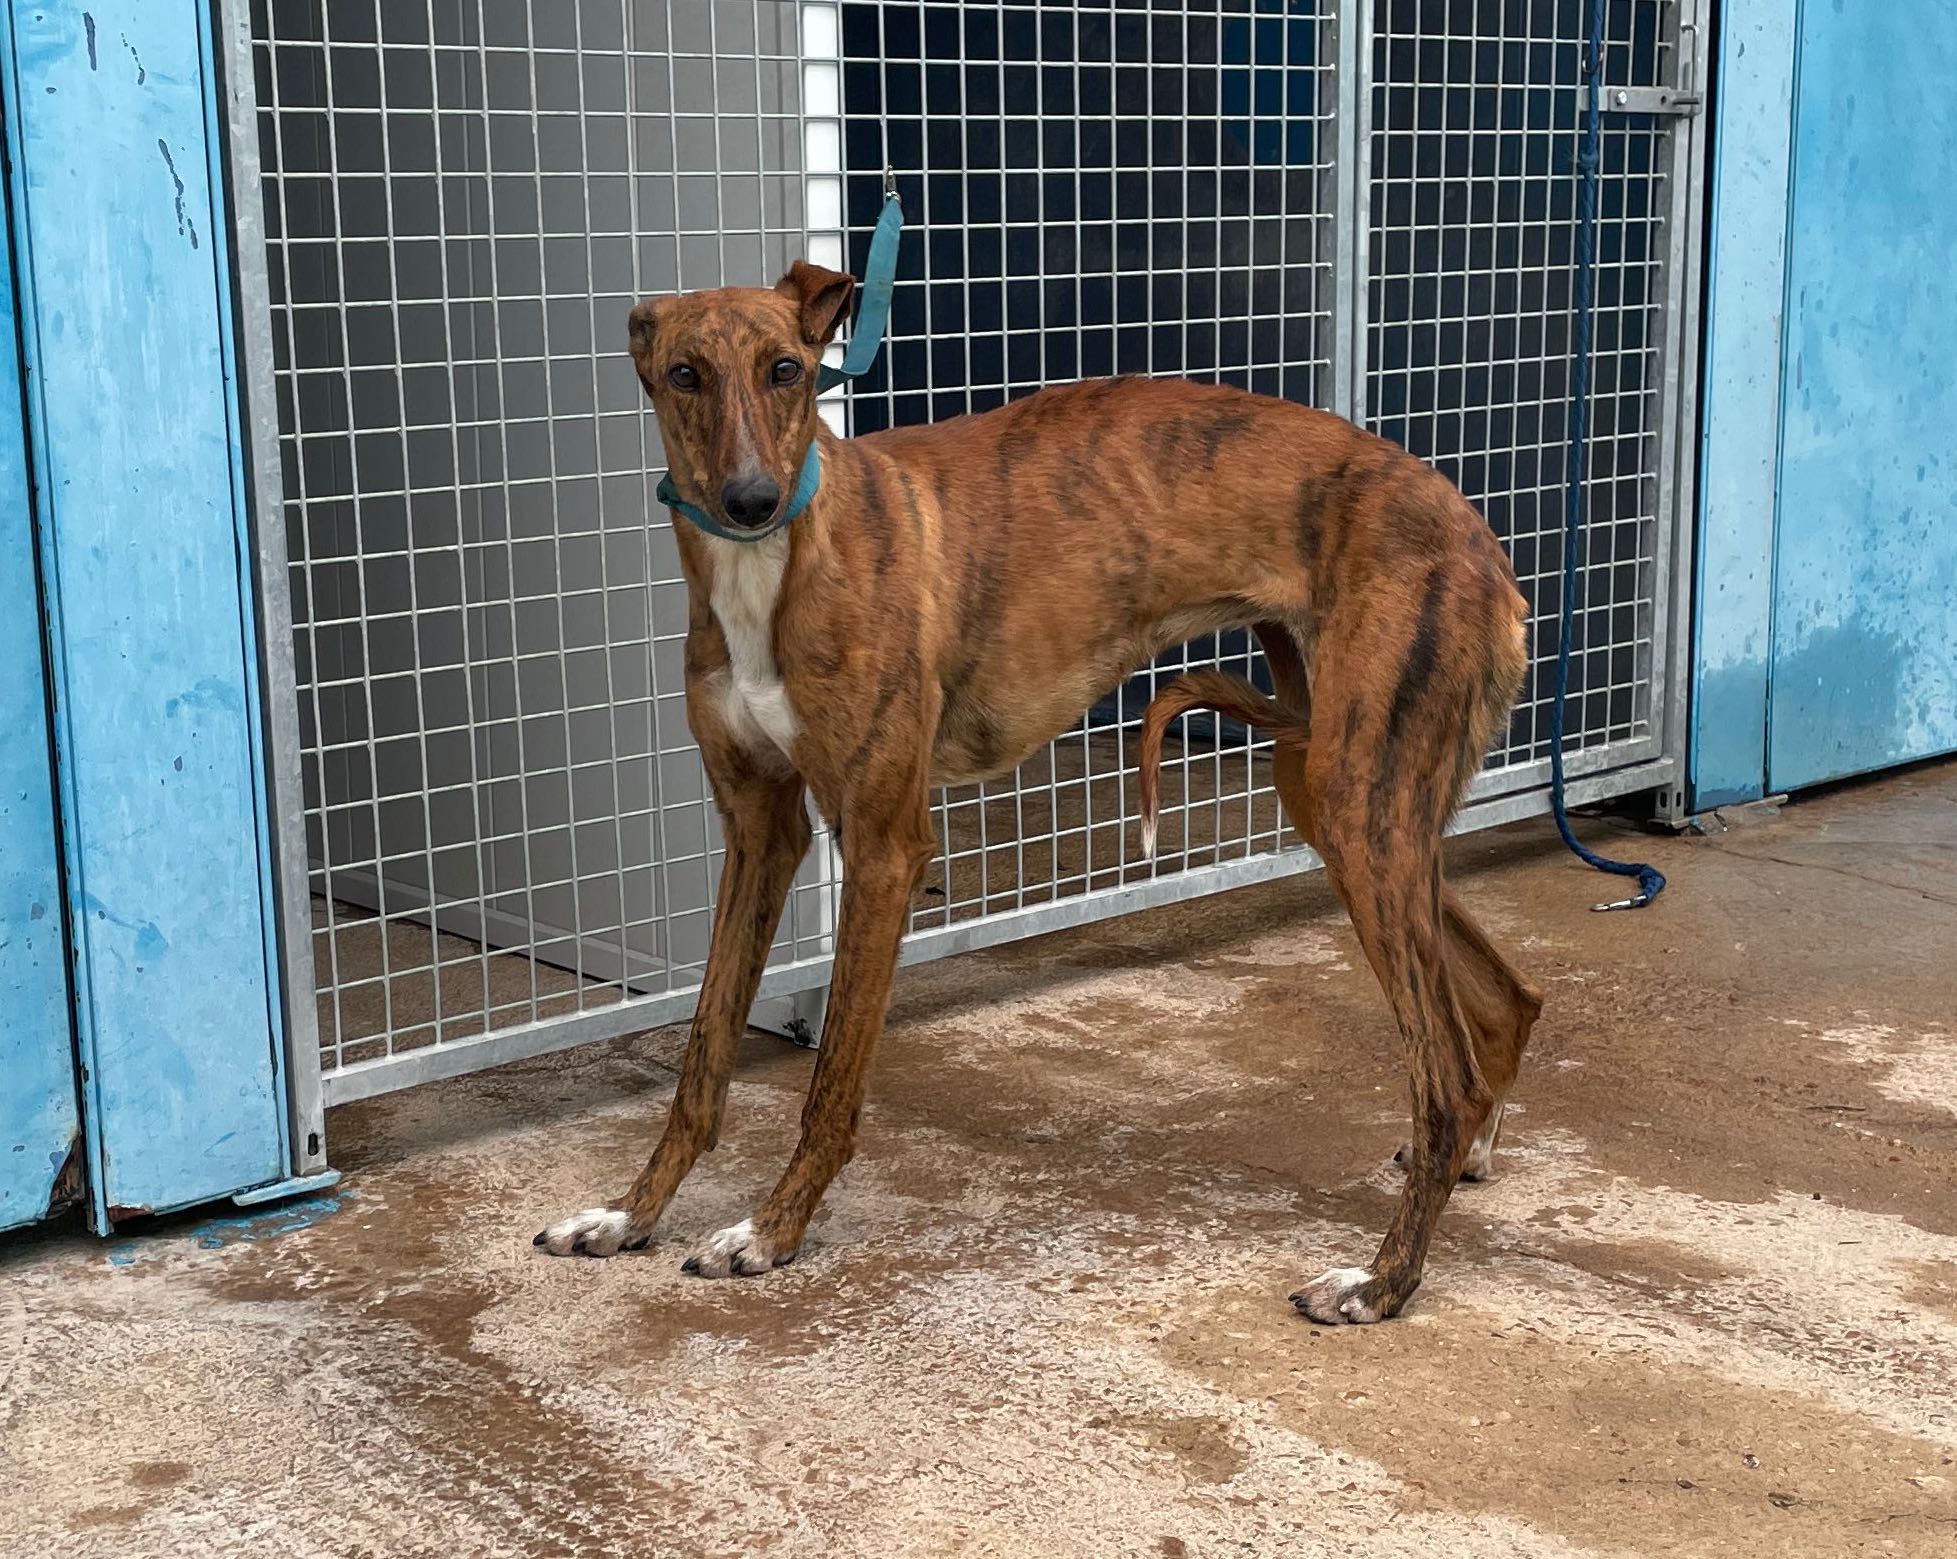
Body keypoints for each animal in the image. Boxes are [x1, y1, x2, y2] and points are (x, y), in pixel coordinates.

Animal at [535, 259, 1544, 1325]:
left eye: (787, 369)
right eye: (683, 374)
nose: (749, 498)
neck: (783, 559)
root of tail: (1472, 529)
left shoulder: (885, 844)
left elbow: (830, 1082)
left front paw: (769, 1231)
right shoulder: (760, 829)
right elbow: (701, 1057)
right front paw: (628, 1214)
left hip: (1362, 802)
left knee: (1441, 1077)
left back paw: (1382, 1279)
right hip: (1338, 795)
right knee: (1506, 1003)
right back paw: (1464, 1160)